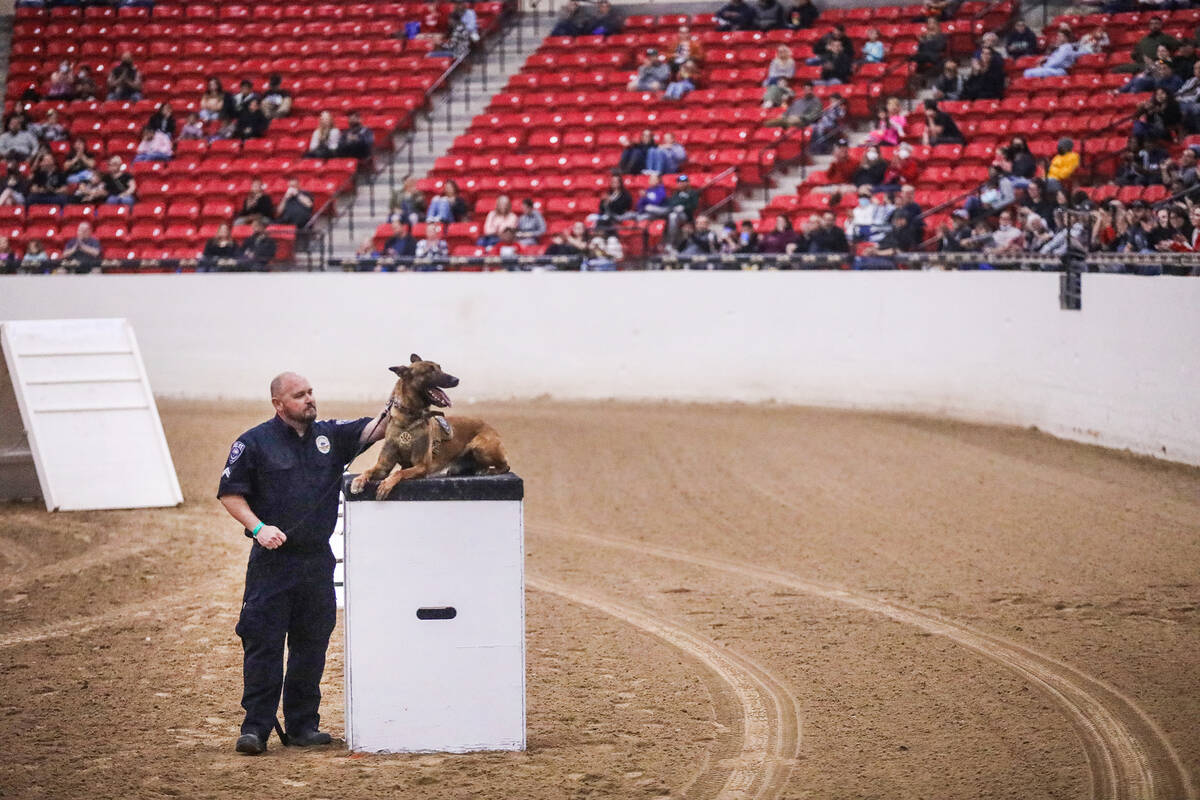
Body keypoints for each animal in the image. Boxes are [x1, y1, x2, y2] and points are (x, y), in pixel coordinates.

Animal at [348, 352, 506, 496]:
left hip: (480, 446)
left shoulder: (421, 466)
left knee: (505, 466)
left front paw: (386, 484)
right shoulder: (383, 466)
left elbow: (399, 473)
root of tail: (489, 426)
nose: (456, 379)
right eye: (430, 371)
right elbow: (368, 470)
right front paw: (358, 480)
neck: (408, 420)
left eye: (440, 368)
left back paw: (487, 470)